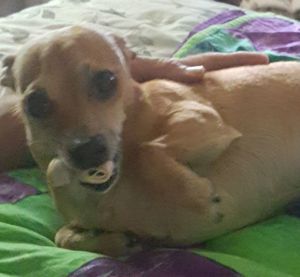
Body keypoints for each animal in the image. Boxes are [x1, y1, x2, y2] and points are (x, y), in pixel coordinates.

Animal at [1, 24, 300, 256]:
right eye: (35, 103)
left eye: (107, 80)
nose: (87, 151)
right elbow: (61, 237)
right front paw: (117, 241)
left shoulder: (202, 119)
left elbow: (148, 150)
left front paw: (197, 199)